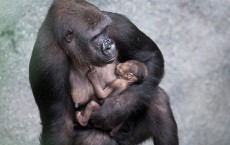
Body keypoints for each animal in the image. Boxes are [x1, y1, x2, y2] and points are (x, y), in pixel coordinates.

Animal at [29, 0, 178, 144]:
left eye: (105, 30)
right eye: (95, 36)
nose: (109, 45)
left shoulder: (121, 26)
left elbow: (150, 57)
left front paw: (114, 110)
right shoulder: (46, 63)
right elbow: (60, 126)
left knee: (158, 100)